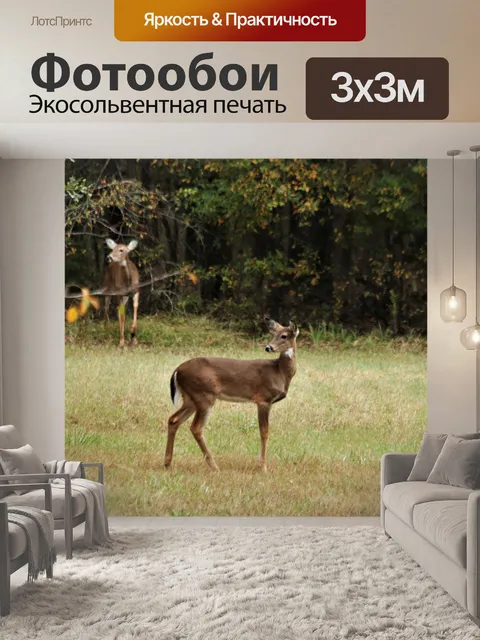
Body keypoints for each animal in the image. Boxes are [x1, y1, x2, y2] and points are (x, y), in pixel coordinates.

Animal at [164, 317, 299, 473]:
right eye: (273, 334)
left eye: (284, 336)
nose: (268, 347)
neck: (279, 372)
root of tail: (177, 371)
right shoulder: (263, 399)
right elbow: (264, 432)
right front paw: (263, 467)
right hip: (204, 395)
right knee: (196, 428)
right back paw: (214, 466)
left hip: (190, 398)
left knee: (173, 420)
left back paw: (168, 464)